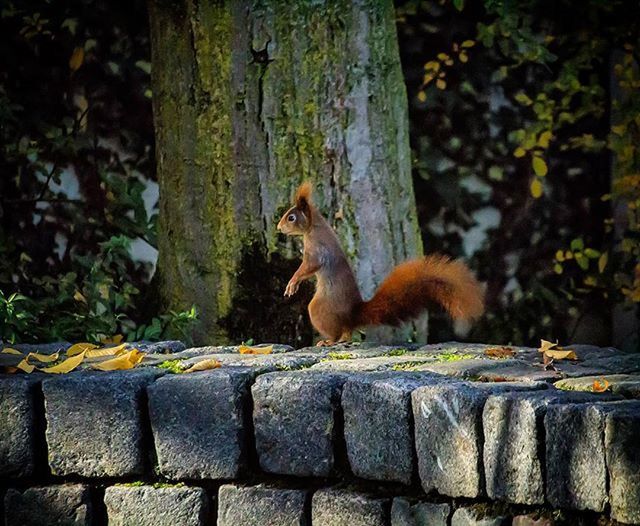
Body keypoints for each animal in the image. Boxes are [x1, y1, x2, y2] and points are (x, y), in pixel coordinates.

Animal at [276, 183, 484, 346]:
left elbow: (309, 267)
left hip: (319, 309)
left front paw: (292, 283)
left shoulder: (317, 251)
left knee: (339, 331)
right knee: (347, 333)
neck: (313, 228)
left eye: (291, 217)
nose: (278, 228)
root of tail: (353, 315)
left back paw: (328, 341)